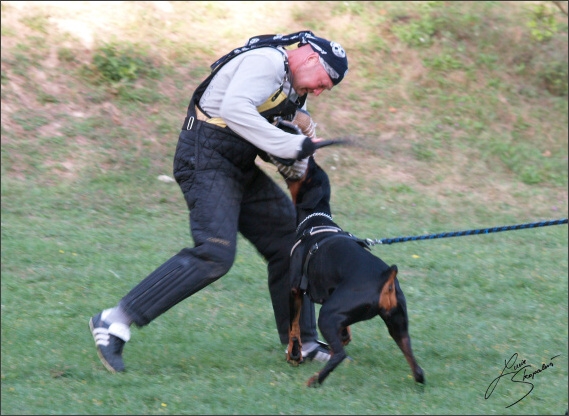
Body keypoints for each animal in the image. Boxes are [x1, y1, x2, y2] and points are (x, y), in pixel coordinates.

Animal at [286, 155, 424, 386]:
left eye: (310, 171)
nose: (310, 156)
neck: (316, 221)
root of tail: (385, 279)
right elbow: (344, 332)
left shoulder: (295, 289)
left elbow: (293, 326)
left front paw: (294, 354)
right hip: (398, 326)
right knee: (418, 368)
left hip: (327, 315)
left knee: (339, 355)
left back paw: (315, 380)